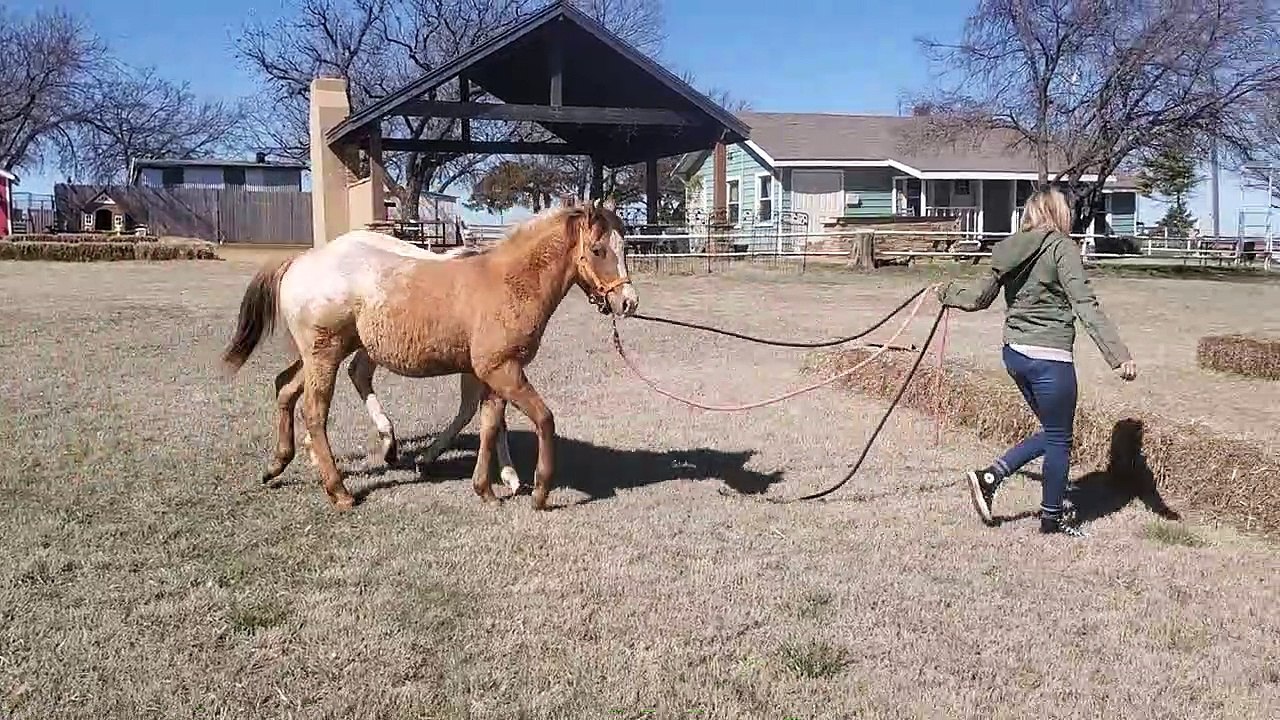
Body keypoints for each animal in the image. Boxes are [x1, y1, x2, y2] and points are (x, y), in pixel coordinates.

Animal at [221, 199, 638, 512]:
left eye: (625, 249)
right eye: (598, 250)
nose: (628, 302)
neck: (508, 283)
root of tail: (299, 261)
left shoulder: (492, 372)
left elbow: (489, 424)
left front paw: (487, 488)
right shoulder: (502, 369)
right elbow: (543, 419)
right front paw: (538, 491)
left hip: (322, 353)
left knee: (285, 387)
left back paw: (278, 464)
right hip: (325, 353)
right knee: (315, 412)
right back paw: (340, 490)